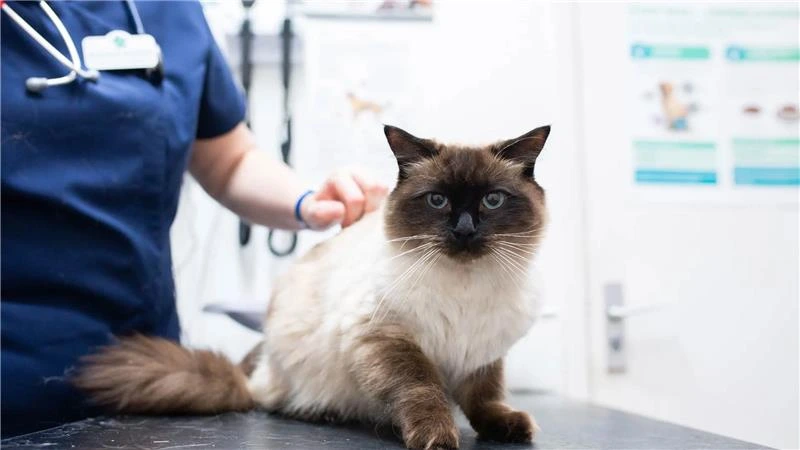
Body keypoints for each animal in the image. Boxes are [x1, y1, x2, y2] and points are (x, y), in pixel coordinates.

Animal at [73, 124, 552, 450]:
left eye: (492, 200)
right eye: (438, 201)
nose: (464, 231)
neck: (467, 287)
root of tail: (256, 373)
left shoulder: (483, 354)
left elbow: (484, 398)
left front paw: (509, 427)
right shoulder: (385, 339)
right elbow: (423, 389)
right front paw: (436, 436)